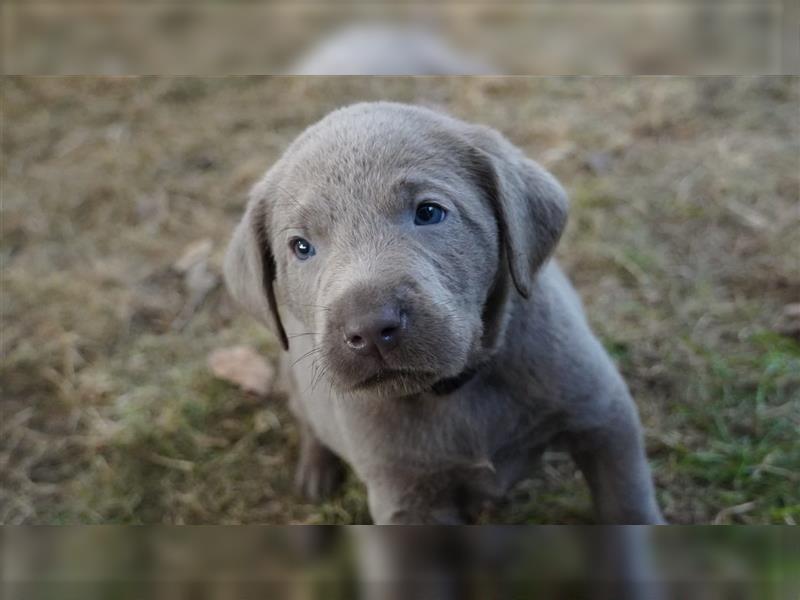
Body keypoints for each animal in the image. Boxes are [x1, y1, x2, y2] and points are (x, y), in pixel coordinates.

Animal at [225, 101, 664, 524]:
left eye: (429, 212)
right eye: (301, 247)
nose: (370, 328)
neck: (456, 389)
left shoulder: (605, 416)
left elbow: (627, 503)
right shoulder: (405, 498)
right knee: (310, 425)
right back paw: (315, 473)